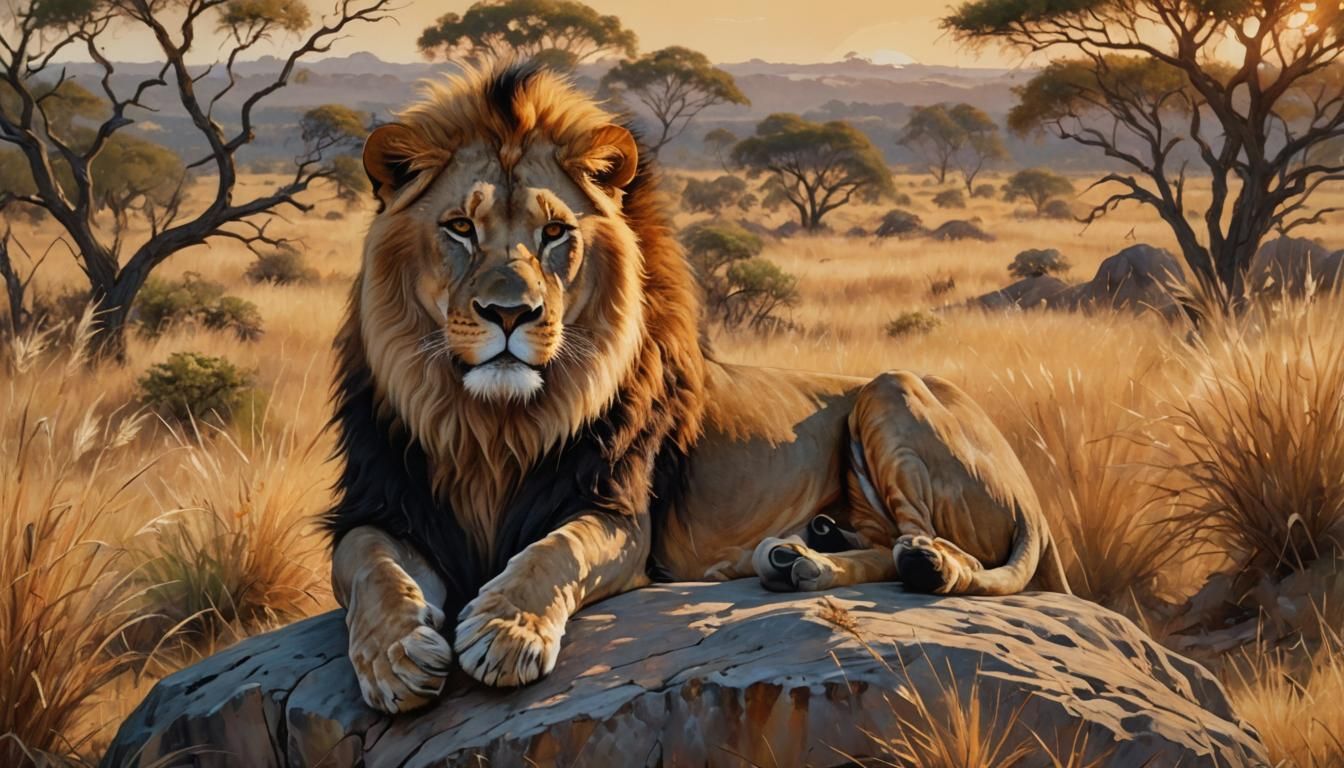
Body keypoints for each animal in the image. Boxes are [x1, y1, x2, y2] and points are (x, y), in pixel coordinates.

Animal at [326, 61, 1069, 714]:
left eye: (555, 233)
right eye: (460, 227)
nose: (511, 314)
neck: (491, 424)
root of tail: (1032, 493)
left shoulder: (618, 515)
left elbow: (553, 554)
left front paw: (506, 633)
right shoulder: (381, 506)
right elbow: (370, 567)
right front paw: (395, 658)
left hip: (891, 389)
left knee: (927, 547)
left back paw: (893, 564)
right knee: (882, 542)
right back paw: (797, 556)